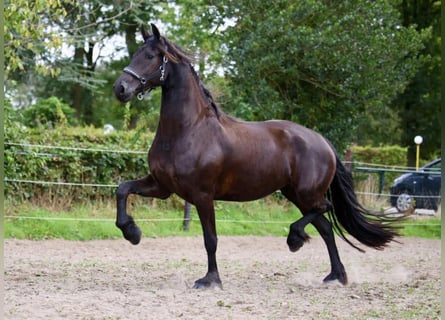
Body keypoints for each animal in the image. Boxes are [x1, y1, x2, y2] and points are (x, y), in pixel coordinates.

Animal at [112, 23, 398, 288]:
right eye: (135, 54)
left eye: (150, 56)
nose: (120, 88)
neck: (188, 129)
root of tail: (323, 141)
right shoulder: (163, 186)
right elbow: (122, 189)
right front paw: (132, 232)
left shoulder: (202, 196)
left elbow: (210, 239)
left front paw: (210, 280)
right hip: (296, 194)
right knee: (326, 228)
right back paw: (335, 276)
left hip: (307, 194)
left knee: (324, 209)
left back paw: (296, 240)